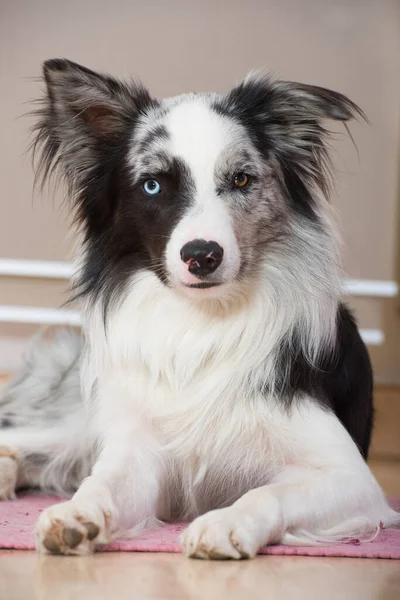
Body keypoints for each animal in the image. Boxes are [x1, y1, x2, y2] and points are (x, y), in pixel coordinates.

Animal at [0, 61, 396, 556]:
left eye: (241, 179)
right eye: (152, 185)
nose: (202, 255)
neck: (202, 320)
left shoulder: (351, 477)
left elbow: (268, 491)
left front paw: (225, 523)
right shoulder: (140, 451)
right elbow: (101, 482)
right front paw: (76, 514)